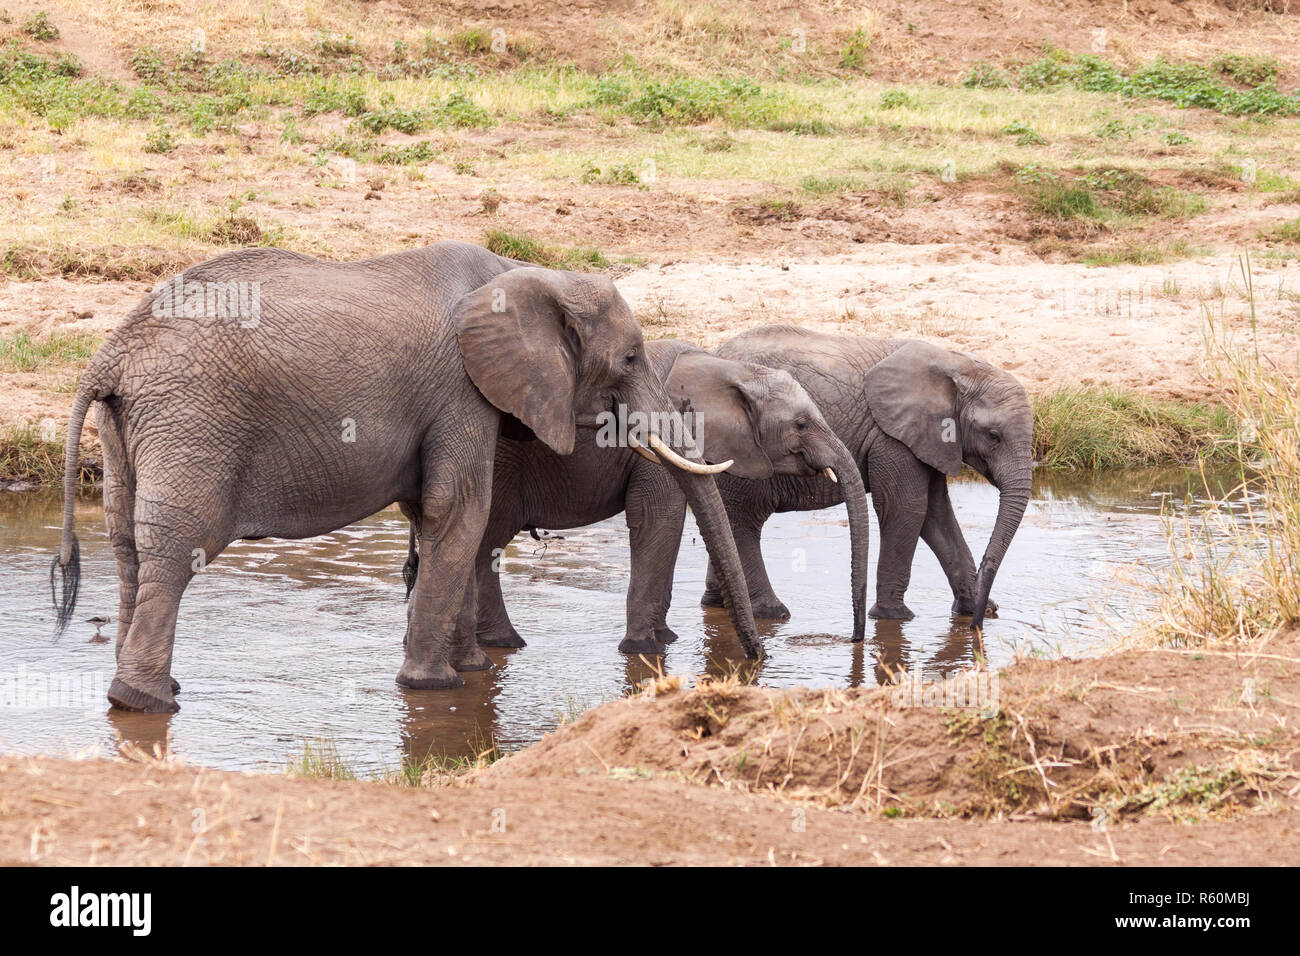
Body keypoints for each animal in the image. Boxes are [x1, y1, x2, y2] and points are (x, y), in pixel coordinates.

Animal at [48, 243, 759, 712]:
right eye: (632, 358)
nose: (754, 658)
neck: (529, 276)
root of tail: (109, 356)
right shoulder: (459, 390)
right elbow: (459, 513)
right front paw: (435, 686)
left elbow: (441, 516)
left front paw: (472, 670)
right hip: (192, 422)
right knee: (176, 552)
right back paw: (146, 704)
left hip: (131, 429)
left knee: (129, 549)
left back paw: (144, 693)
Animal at [405, 335, 873, 658]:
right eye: (801, 424)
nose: (853, 639)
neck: (728, 368)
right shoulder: (657, 442)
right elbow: (658, 517)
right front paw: (647, 650)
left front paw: (663, 640)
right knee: (487, 542)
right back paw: (505, 644)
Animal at [707, 325, 1029, 632]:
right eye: (994, 436)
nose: (978, 624)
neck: (958, 364)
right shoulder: (892, 439)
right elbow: (907, 509)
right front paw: (894, 617)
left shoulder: (930, 440)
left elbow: (936, 515)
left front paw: (977, 610)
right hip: (741, 450)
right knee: (744, 520)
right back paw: (773, 613)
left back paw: (716, 605)